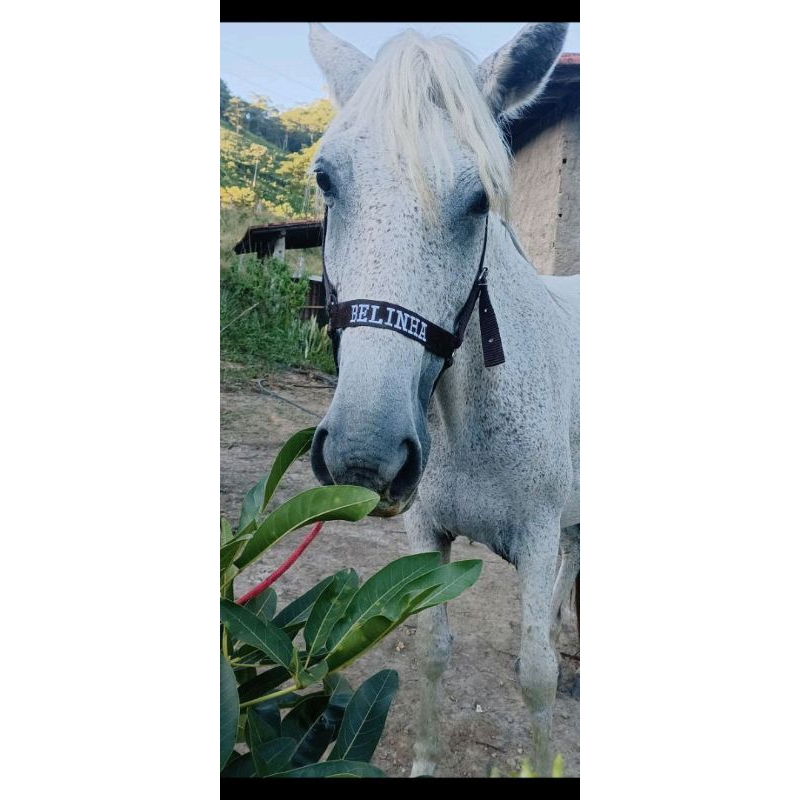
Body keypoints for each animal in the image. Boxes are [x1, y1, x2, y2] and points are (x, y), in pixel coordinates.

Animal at [307, 22, 580, 776]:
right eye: (327, 180)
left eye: (479, 199)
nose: (363, 453)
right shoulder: (426, 531)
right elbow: (430, 646)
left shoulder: (538, 534)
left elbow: (534, 676)